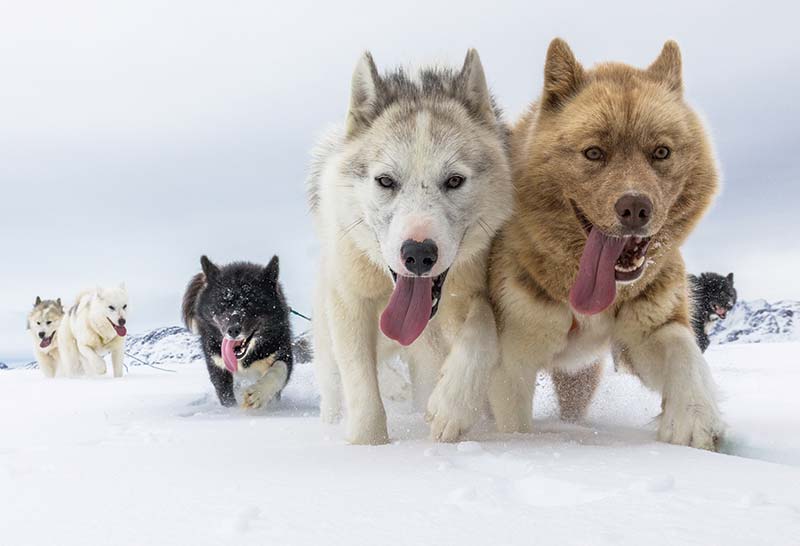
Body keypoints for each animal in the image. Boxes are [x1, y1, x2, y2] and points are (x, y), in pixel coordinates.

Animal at [182, 255, 294, 404]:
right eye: (222, 304)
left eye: (250, 304)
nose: (233, 330)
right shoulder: (217, 364)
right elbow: (226, 396)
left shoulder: (282, 351)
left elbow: (278, 370)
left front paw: (259, 393)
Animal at [488, 37, 724, 446]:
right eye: (594, 152)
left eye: (661, 152)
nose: (635, 208)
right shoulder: (513, 361)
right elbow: (512, 424)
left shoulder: (647, 332)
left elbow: (683, 350)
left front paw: (693, 417)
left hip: (580, 379)